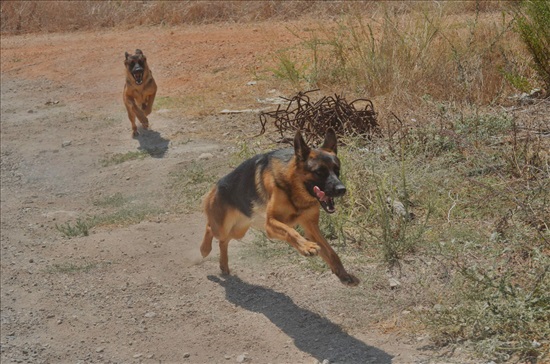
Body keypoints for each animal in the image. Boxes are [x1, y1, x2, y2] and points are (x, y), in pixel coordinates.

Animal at [203, 129, 362, 286]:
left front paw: (343, 274)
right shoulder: (270, 224)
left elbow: (331, 252)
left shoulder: (311, 227)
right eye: (319, 172)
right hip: (223, 228)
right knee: (210, 228)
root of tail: (216, 187)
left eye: (337, 170)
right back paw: (204, 249)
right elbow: (290, 232)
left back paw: (223, 264)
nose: (342, 189)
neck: (293, 185)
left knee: (224, 241)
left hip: (238, 230)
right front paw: (306, 247)